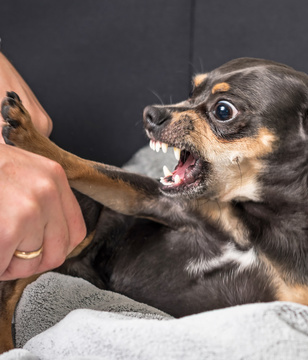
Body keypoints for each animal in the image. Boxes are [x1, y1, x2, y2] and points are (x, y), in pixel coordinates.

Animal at [0, 57, 308, 352]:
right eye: (192, 92)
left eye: (223, 111)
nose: (150, 113)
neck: (265, 219)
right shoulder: (157, 201)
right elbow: (83, 165)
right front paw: (30, 136)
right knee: (9, 288)